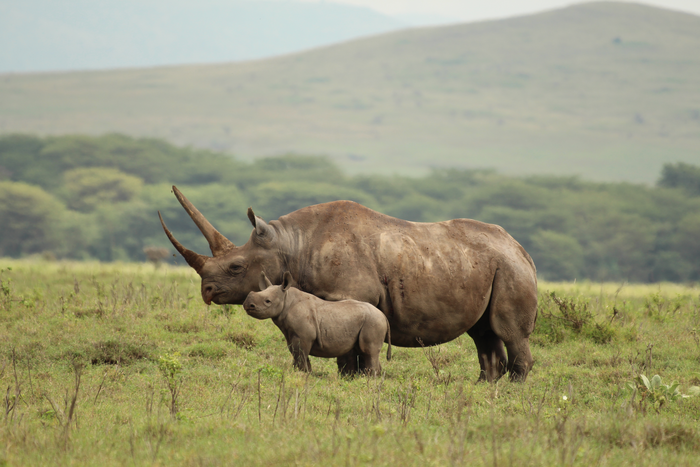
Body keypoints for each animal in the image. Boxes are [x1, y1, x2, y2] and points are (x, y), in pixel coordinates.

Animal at [243, 270, 392, 376]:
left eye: (267, 301)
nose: (247, 305)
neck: (286, 299)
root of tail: (384, 317)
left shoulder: (303, 336)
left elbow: (300, 355)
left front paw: (302, 374)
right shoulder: (292, 334)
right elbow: (297, 354)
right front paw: (304, 373)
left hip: (373, 322)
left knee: (369, 351)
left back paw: (370, 379)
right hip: (370, 320)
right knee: (365, 351)